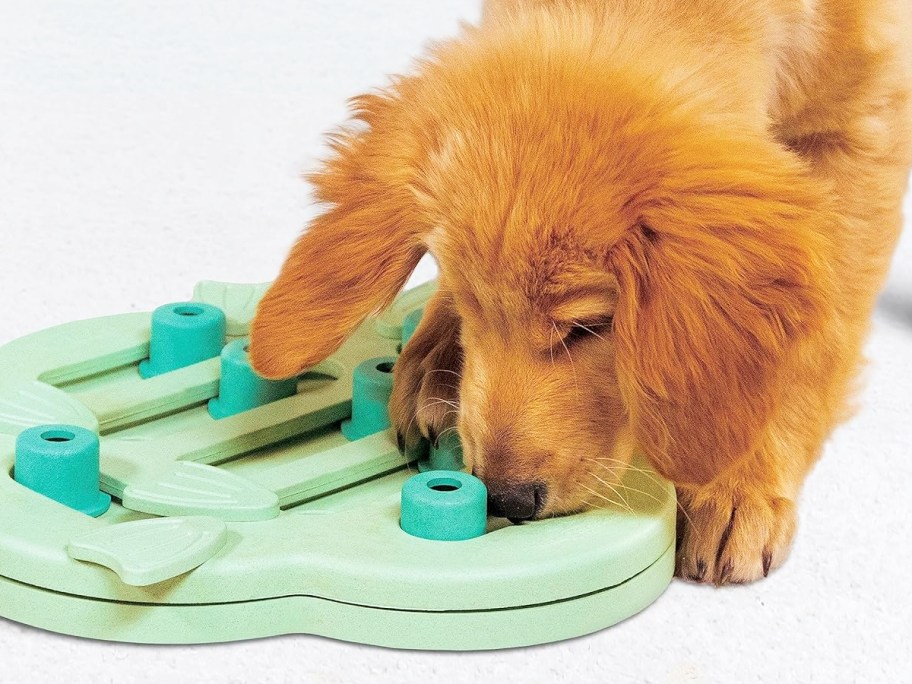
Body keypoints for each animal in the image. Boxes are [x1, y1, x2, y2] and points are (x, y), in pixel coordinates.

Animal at [249, 1, 912, 588]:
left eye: (589, 326)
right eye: (469, 309)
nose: (507, 500)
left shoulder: (863, 125)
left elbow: (819, 333)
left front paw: (737, 481)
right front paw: (437, 358)